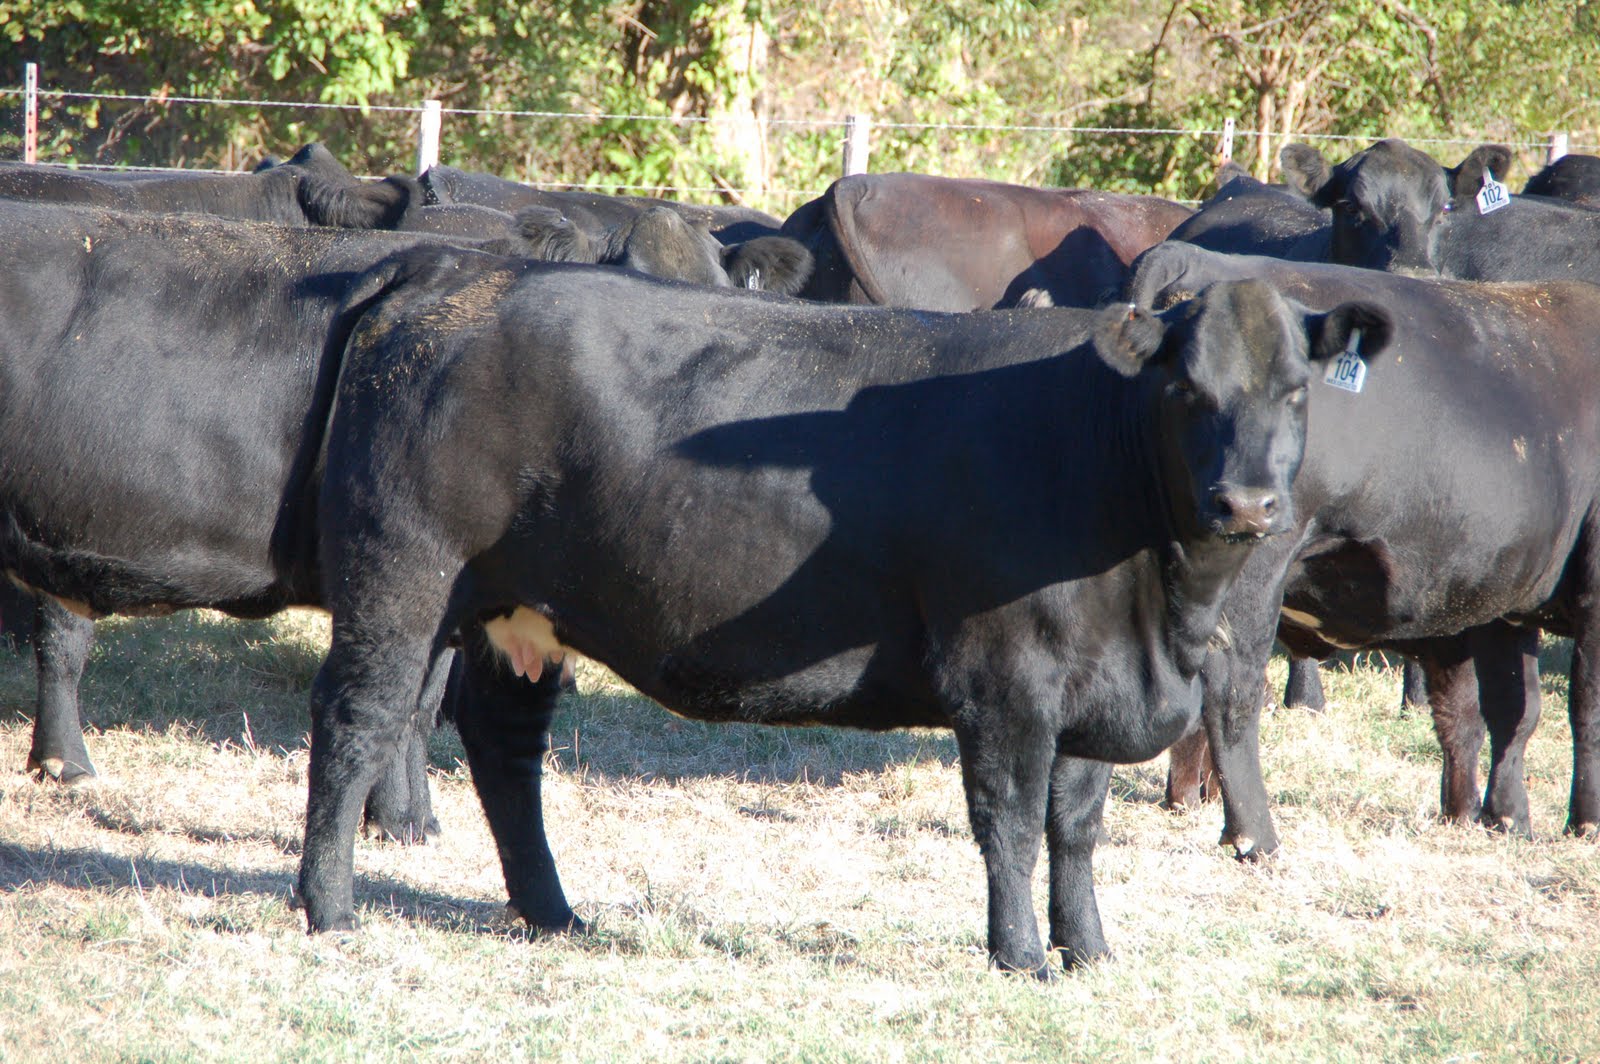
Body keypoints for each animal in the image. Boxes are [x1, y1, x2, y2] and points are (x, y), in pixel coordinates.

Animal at [0, 200, 500, 836]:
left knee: (61, 634)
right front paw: (398, 821)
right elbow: (405, 700)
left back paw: (63, 763)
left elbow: (421, 702)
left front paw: (413, 820)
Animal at [289, 243, 1388, 977]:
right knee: (356, 717)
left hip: (515, 608)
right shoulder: (1005, 677)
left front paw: (1090, 949)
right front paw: (1021, 953)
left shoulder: (1093, 678)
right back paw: (329, 906)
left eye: (1296, 391)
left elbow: (1075, 825)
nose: (1246, 503)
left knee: (503, 744)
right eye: (1187, 389)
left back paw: (553, 911)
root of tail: (456, 276)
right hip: (403, 576)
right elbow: (1009, 820)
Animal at [1128, 241, 1600, 853]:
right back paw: (1252, 834)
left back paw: (1191, 798)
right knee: (1232, 690)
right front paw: (1583, 821)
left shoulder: (1498, 596)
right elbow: (1583, 708)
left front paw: (1498, 816)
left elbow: (1502, 711)